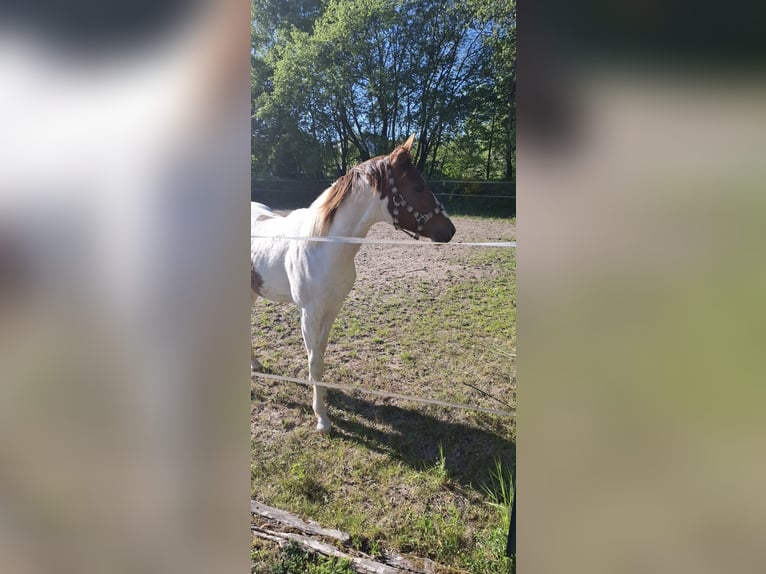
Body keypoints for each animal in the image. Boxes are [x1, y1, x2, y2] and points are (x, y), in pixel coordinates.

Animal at [250, 135, 456, 432]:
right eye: (418, 187)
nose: (449, 230)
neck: (324, 245)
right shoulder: (309, 313)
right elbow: (314, 360)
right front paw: (322, 418)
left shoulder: (332, 308)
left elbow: (321, 354)